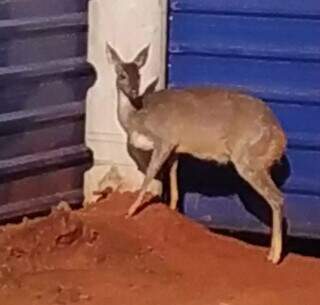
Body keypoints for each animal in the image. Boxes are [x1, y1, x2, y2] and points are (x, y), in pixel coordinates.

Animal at [105, 42, 288, 264]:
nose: (133, 91)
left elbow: (149, 175)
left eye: (138, 75)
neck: (136, 118)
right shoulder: (176, 148)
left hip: (248, 158)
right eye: (122, 74)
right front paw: (172, 212)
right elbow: (173, 178)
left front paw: (130, 212)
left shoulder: (164, 139)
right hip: (259, 162)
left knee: (277, 198)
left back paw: (274, 256)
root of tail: (280, 138)